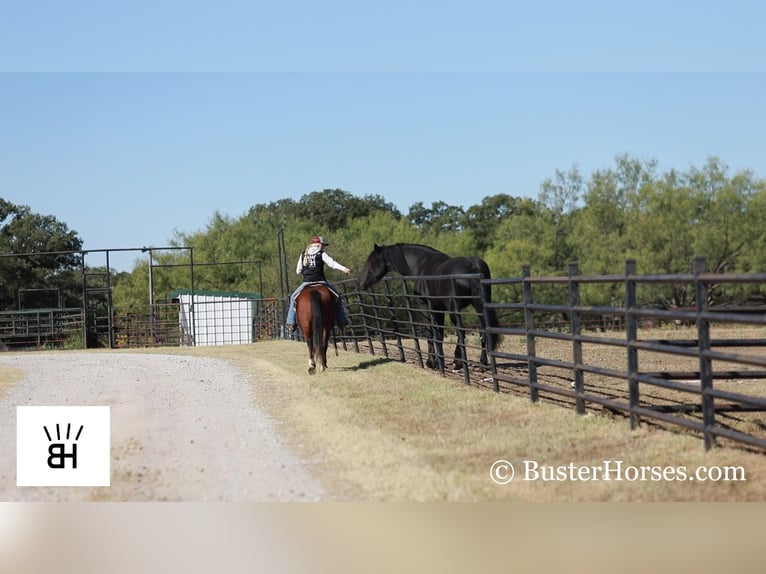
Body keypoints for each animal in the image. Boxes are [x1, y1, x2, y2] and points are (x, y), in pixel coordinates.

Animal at [362, 244, 504, 374]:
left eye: (372, 262)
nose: (361, 283)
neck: (421, 264)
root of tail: (473, 266)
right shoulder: (439, 309)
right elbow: (439, 334)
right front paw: (437, 360)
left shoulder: (426, 306)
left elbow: (430, 333)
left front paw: (431, 362)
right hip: (479, 307)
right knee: (483, 332)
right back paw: (482, 364)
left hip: (454, 310)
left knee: (461, 332)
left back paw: (458, 362)